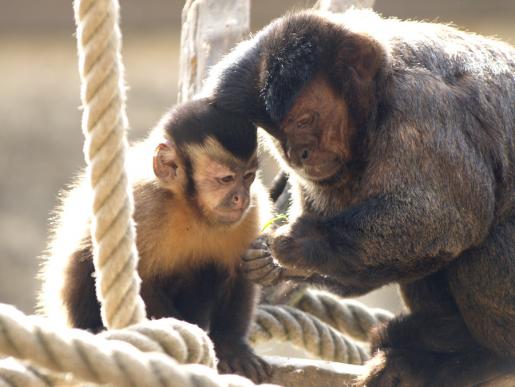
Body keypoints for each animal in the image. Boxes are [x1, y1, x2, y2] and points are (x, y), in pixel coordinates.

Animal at [38, 98, 274, 384]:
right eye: (226, 179)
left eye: (248, 176)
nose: (241, 197)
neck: (190, 207)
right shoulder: (142, 204)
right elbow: (144, 281)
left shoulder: (252, 210)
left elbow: (239, 275)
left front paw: (231, 347)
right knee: (81, 258)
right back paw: (92, 328)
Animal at [202, 7, 515, 386]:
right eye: (277, 134)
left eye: (305, 120)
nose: (296, 154)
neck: (380, 97)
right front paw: (270, 264)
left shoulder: (421, 104)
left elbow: (450, 220)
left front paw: (306, 243)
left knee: (483, 239)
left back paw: (489, 357)